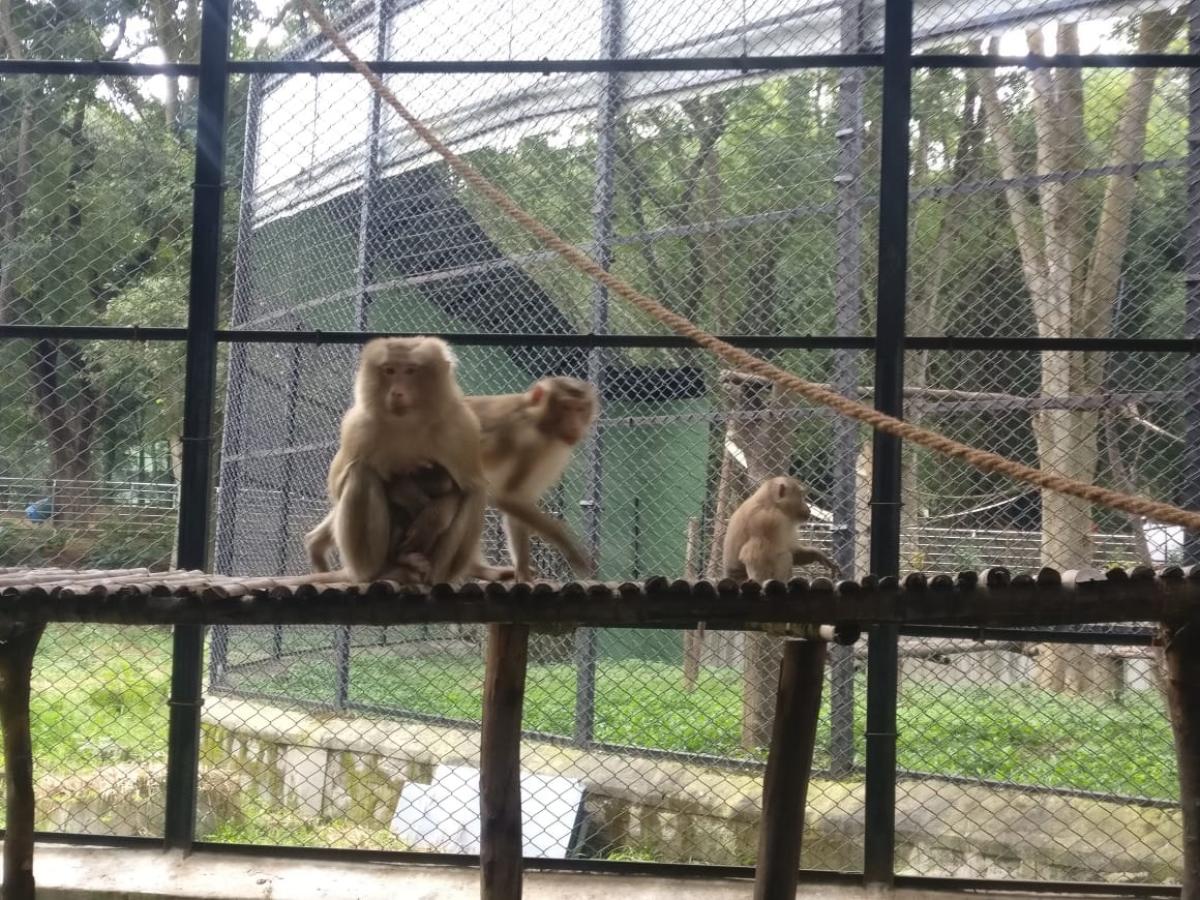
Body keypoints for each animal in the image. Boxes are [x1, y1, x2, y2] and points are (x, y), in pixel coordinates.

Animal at [303, 336, 487, 584]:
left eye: (410, 371)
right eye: (389, 370)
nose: (397, 392)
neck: (408, 421)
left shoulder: (461, 427)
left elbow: (466, 487)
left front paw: (435, 517)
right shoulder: (358, 427)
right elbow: (338, 489)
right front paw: (405, 492)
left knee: (475, 495)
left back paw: (429, 574)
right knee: (361, 472)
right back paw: (378, 570)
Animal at [464, 376, 598, 582]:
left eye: (580, 408)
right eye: (566, 407)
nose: (575, 425)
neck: (539, 422)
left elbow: (518, 503)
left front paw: (523, 571)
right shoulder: (530, 445)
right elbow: (509, 498)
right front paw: (568, 546)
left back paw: (477, 569)